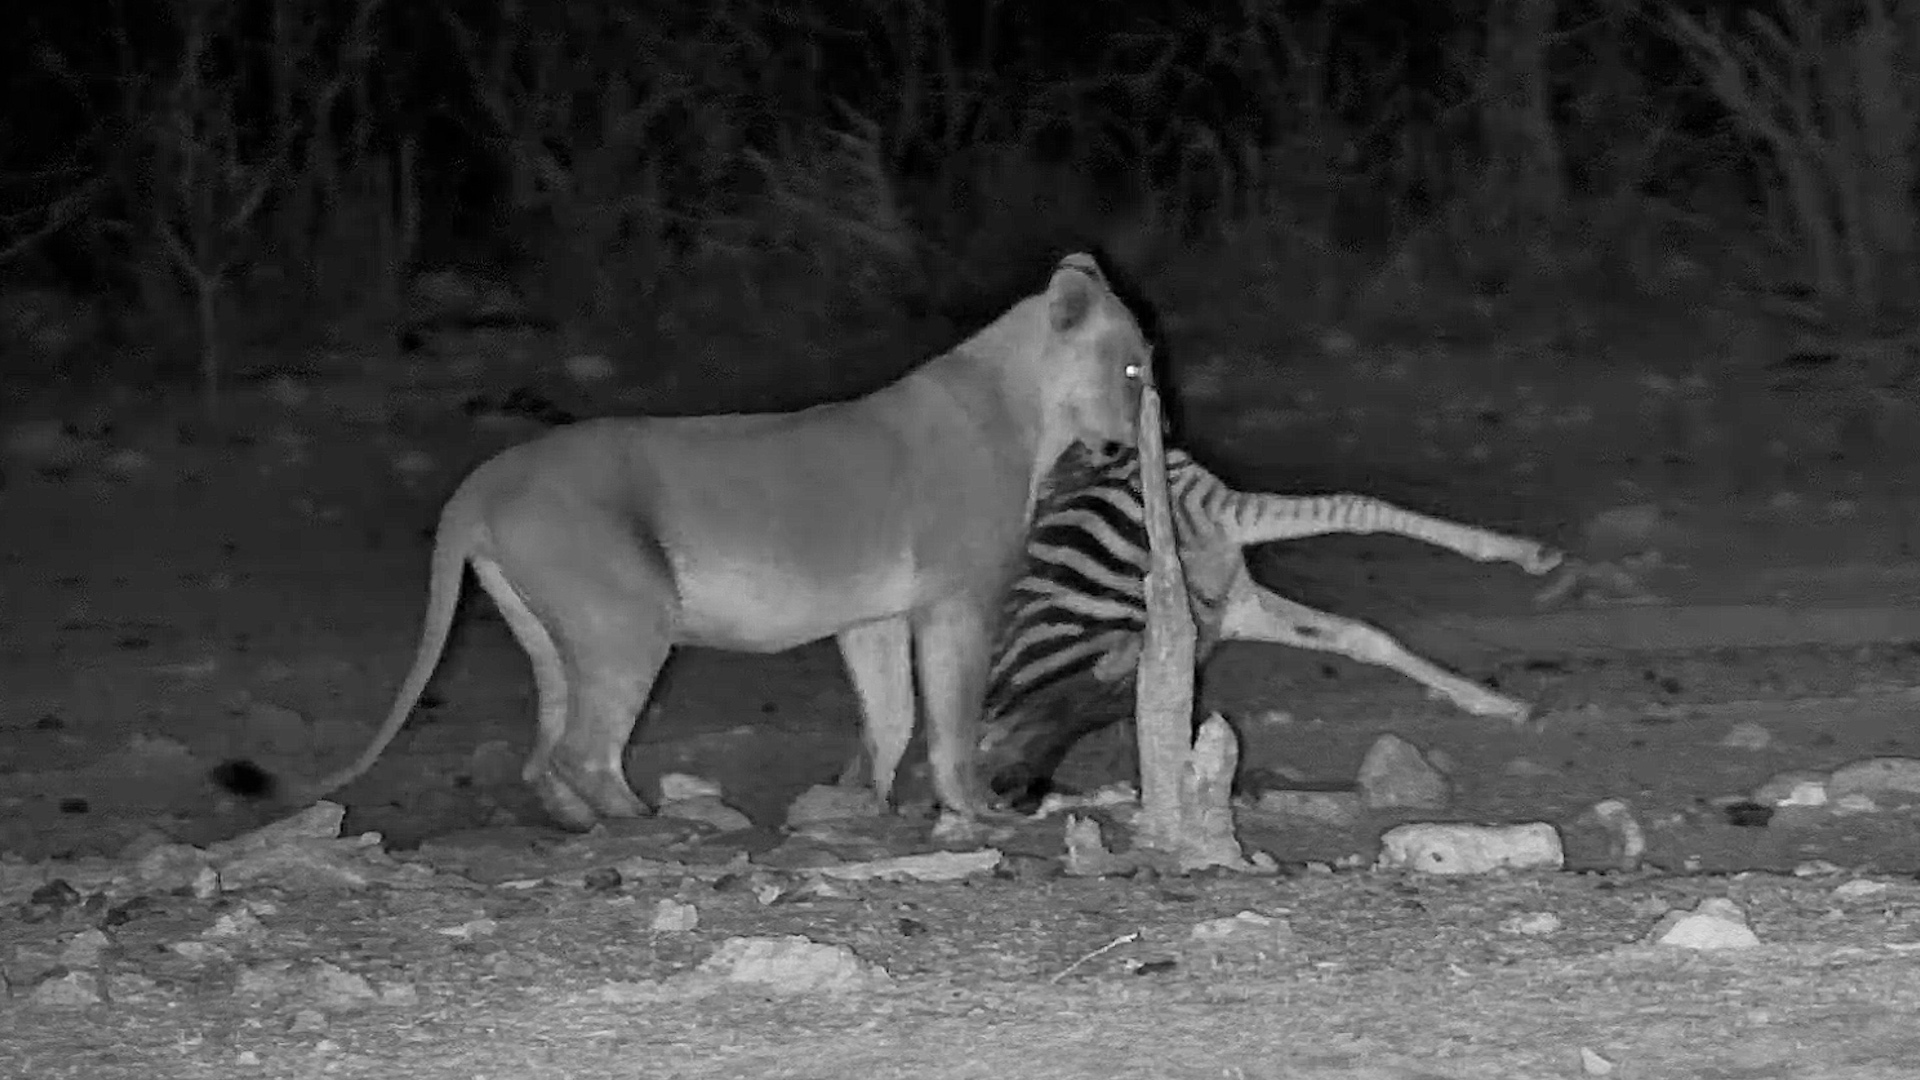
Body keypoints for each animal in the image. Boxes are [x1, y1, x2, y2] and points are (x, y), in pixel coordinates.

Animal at [975, 441, 1564, 810]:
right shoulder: (1229, 573)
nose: (1009, 799)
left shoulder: (1231, 592)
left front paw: (1494, 700)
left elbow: (1361, 609)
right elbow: (1360, 587)